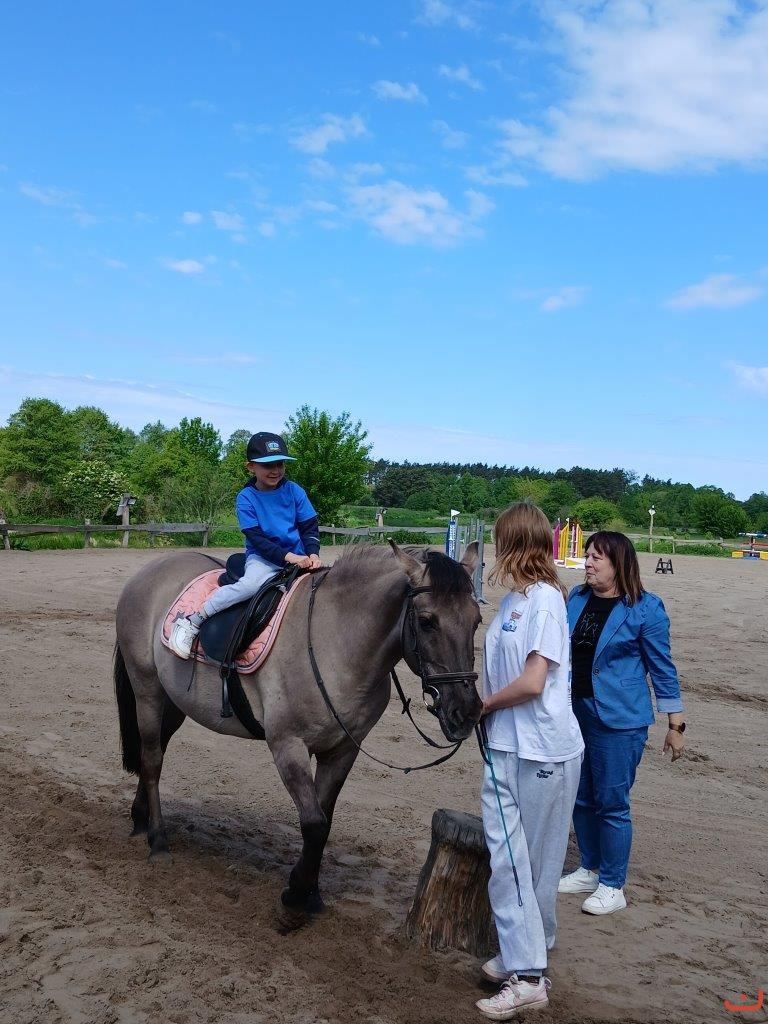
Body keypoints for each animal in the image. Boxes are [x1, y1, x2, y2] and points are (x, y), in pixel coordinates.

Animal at [113, 541, 483, 919]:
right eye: (426, 621)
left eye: (477, 620)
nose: (466, 713)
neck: (335, 640)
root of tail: (150, 571)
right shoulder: (288, 746)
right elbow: (314, 824)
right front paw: (294, 896)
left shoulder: (342, 751)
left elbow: (323, 820)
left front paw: (311, 893)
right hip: (147, 691)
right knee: (152, 761)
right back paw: (158, 841)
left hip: (173, 703)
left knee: (153, 751)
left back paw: (141, 819)